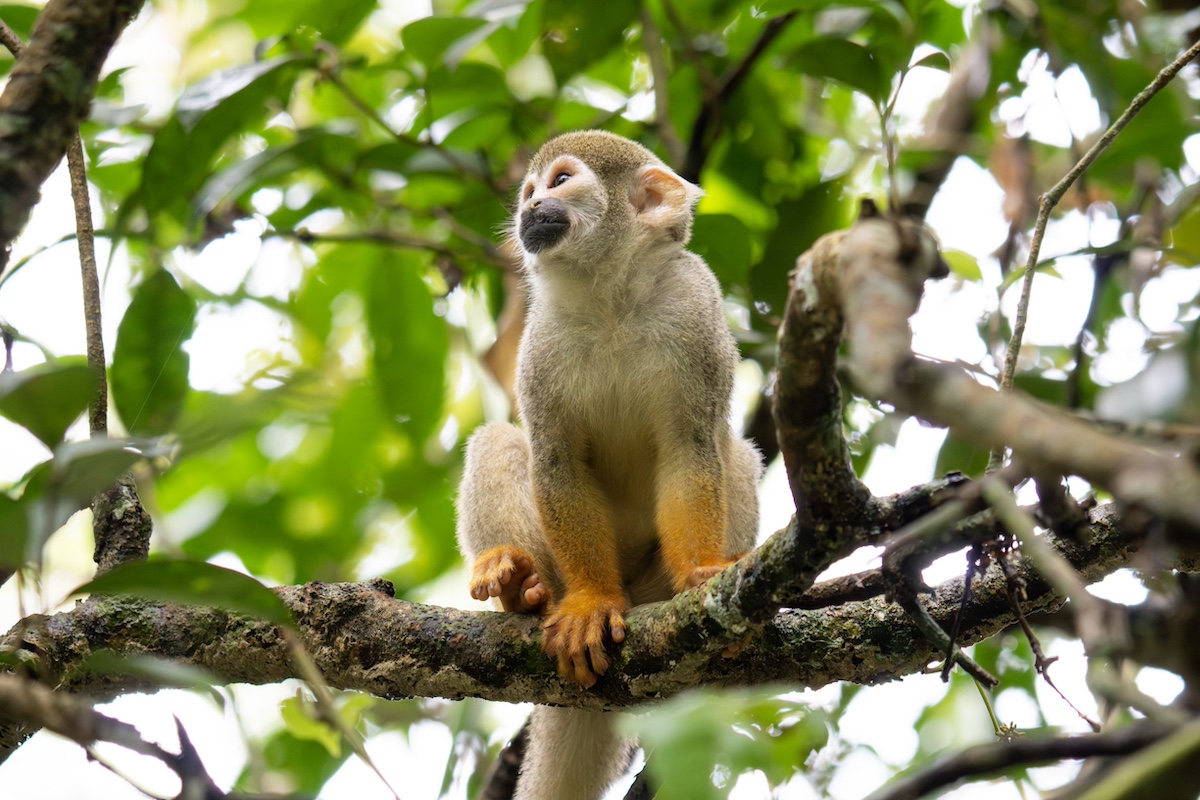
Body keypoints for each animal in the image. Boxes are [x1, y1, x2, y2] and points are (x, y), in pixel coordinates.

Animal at [453, 131, 763, 800]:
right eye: (530, 189)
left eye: (561, 181)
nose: (530, 206)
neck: (609, 298)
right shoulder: (539, 340)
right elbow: (556, 461)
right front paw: (592, 603)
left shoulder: (694, 304)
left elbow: (691, 448)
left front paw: (702, 572)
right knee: (499, 440)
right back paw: (519, 587)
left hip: (647, 587)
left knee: (734, 453)